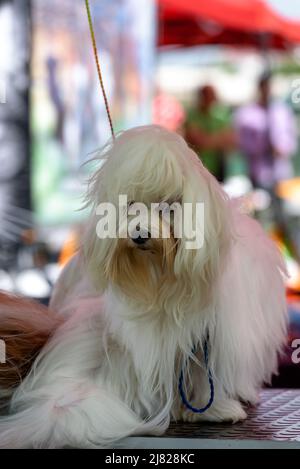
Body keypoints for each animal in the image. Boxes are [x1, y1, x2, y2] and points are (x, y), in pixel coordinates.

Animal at [0, 126, 286, 448]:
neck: (160, 277)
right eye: (131, 206)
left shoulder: (206, 335)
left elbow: (203, 373)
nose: (139, 234)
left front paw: (212, 408)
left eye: (168, 207)